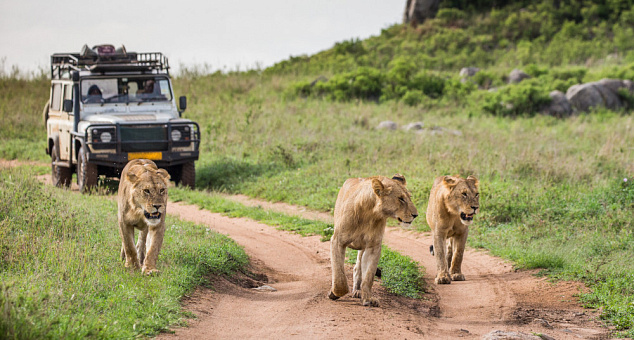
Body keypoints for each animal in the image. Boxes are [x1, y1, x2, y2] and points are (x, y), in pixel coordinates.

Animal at [328, 174, 418, 306]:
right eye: (401, 199)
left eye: (409, 197)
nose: (416, 215)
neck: (370, 214)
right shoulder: (337, 241)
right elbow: (339, 275)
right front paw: (334, 294)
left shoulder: (373, 246)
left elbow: (368, 277)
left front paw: (368, 299)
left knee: (358, 268)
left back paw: (357, 291)